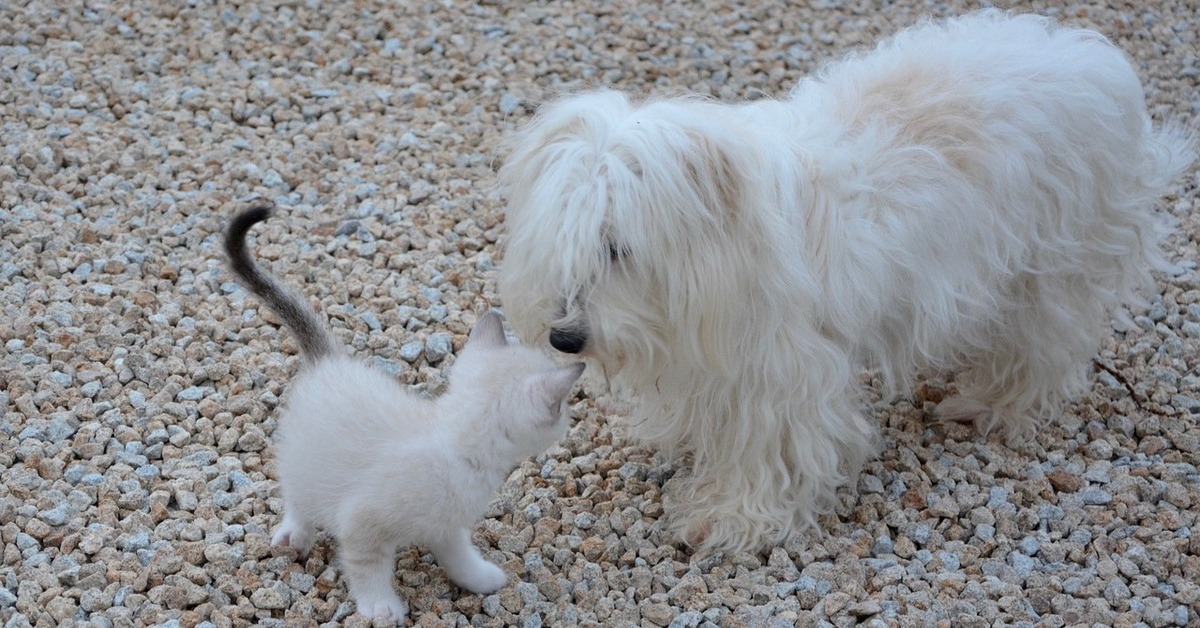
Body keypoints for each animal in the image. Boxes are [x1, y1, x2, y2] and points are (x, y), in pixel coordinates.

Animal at [225, 204, 585, 619]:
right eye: (563, 408)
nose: (569, 420)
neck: (458, 446)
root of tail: (329, 360)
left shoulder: (446, 525)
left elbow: (459, 556)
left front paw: (480, 579)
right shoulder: (362, 523)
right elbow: (367, 567)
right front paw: (381, 607)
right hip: (304, 462)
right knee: (297, 495)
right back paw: (295, 534)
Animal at [494, 8, 1190, 549]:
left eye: (619, 249)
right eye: (563, 242)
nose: (563, 337)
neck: (732, 245)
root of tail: (1090, 56)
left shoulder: (783, 373)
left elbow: (769, 452)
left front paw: (731, 518)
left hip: (1052, 265)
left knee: (1045, 344)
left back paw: (993, 405)